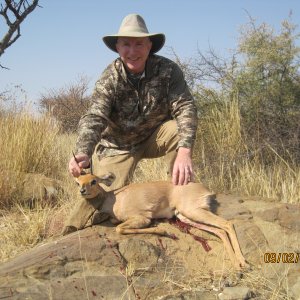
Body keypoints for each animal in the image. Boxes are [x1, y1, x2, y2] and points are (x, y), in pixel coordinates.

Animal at [62, 171, 247, 270]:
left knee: (227, 223)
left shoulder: (141, 218)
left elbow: (120, 228)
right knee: (220, 230)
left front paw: (162, 230)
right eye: (78, 181)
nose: (82, 190)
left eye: (94, 180)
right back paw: (239, 263)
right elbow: (117, 225)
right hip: (186, 216)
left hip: (193, 212)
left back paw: (241, 264)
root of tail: (204, 189)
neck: (113, 199)